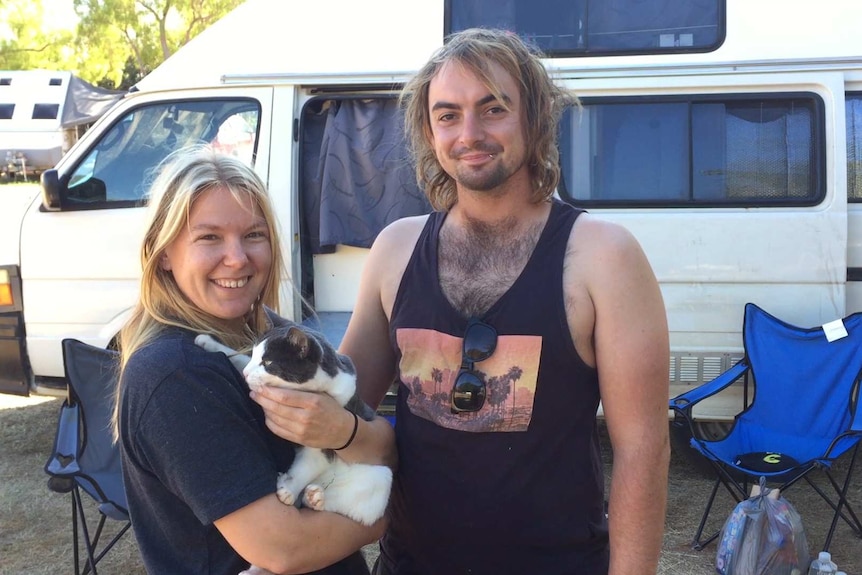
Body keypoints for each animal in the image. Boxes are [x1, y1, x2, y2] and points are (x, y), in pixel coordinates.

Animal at [194, 324, 394, 532]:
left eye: (268, 362)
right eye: (254, 356)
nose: (247, 374)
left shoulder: (325, 439)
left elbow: (309, 465)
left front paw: (289, 489)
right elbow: (241, 362)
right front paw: (208, 342)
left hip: (379, 478)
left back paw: (316, 498)